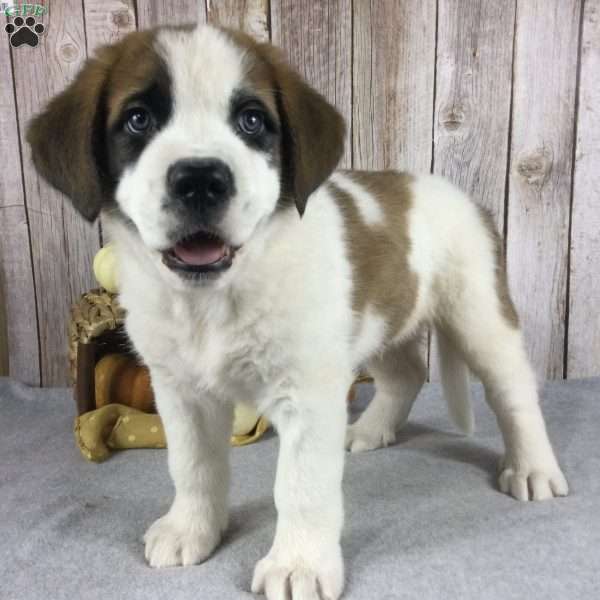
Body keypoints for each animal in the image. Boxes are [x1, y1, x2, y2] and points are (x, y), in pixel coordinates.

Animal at [28, 22, 568, 600]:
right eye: (138, 119)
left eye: (251, 120)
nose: (200, 179)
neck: (215, 298)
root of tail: (464, 197)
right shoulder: (181, 392)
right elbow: (192, 466)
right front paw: (191, 529)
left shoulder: (307, 391)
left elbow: (302, 486)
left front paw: (299, 564)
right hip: (375, 322)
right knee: (405, 373)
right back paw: (371, 429)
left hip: (478, 314)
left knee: (513, 392)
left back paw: (532, 467)